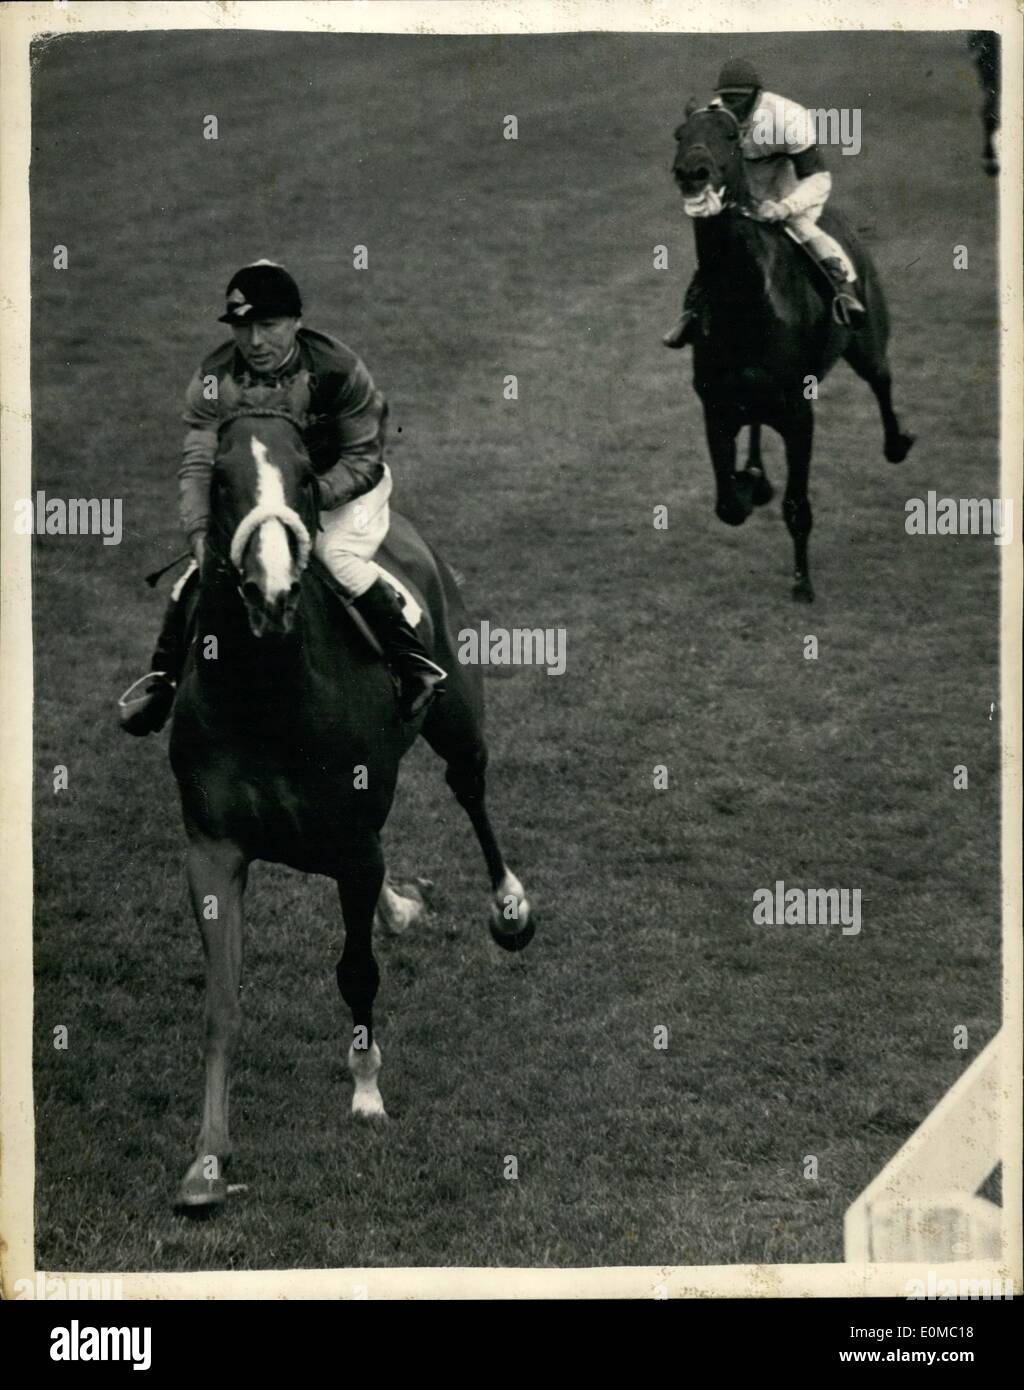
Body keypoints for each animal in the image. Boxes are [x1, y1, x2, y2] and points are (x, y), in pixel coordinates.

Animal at [168, 375, 530, 1212]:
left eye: (306, 476)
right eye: (223, 480)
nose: (272, 591)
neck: (269, 692)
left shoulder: (355, 838)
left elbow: (356, 968)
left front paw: (366, 1091)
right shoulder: (212, 848)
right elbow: (222, 1002)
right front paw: (207, 1161)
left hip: (458, 713)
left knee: (472, 792)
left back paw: (509, 907)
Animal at [666, 109, 917, 603]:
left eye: (729, 137)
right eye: (681, 135)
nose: (692, 173)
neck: (745, 301)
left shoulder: (800, 414)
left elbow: (797, 505)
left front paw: (803, 583)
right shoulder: (716, 406)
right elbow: (727, 506)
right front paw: (748, 485)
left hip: (866, 341)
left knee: (882, 378)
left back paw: (896, 443)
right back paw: (756, 472)